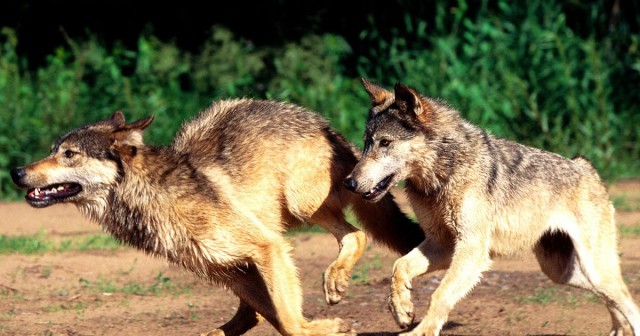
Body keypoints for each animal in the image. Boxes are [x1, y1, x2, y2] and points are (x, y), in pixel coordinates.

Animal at [10, 98, 424, 334]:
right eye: (53, 150)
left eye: (69, 154)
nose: (15, 172)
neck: (154, 195)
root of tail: (324, 125)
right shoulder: (227, 267)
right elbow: (276, 317)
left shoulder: (266, 246)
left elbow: (289, 322)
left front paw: (327, 327)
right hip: (246, 255)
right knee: (254, 313)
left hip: (299, 207)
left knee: (356, 235)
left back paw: (335, 281)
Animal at [344, 79, 640, 336]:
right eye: (366, 142)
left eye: (385, 143)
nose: (349, 182)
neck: (443, 174)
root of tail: (586, 167)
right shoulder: (442, 244)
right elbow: (399, 266)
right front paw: (401, 310)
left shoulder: (472, 250)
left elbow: (440, 295)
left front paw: (421, 331)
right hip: (562, 272)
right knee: (613, 300)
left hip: (595, 269)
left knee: (629, 302)